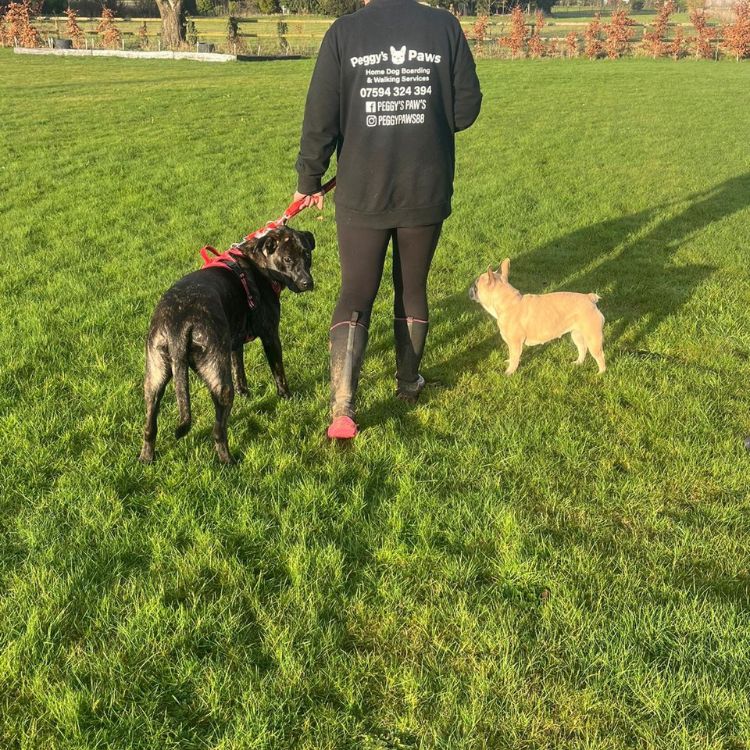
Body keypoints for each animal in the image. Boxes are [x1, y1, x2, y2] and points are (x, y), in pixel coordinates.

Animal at [138, 226, 315, 465]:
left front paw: (245, 393)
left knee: (150, 426)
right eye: (287, 259)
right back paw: (228, 461)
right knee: (218, 430)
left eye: (307, 254)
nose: (307, 283)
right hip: (220, 382)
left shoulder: (234, 343)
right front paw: (286, 396)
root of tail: (179, 324)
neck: (258, 263)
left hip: (154, 379)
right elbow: (279, 371)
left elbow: (239, 369)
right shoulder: (271, 336)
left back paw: (146, 457)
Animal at [469, 258, 606, 375]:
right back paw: (578, 363)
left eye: (475, 286)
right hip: (577, 334)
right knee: (582, 348)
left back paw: (600, 373)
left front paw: (508, 372)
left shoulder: (515, 343)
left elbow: (514, 358)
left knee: (600, 355)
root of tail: (589, 298)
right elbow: (512, 356)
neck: (507, 302)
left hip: (593, 338)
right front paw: (508, 362)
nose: (469, 289)